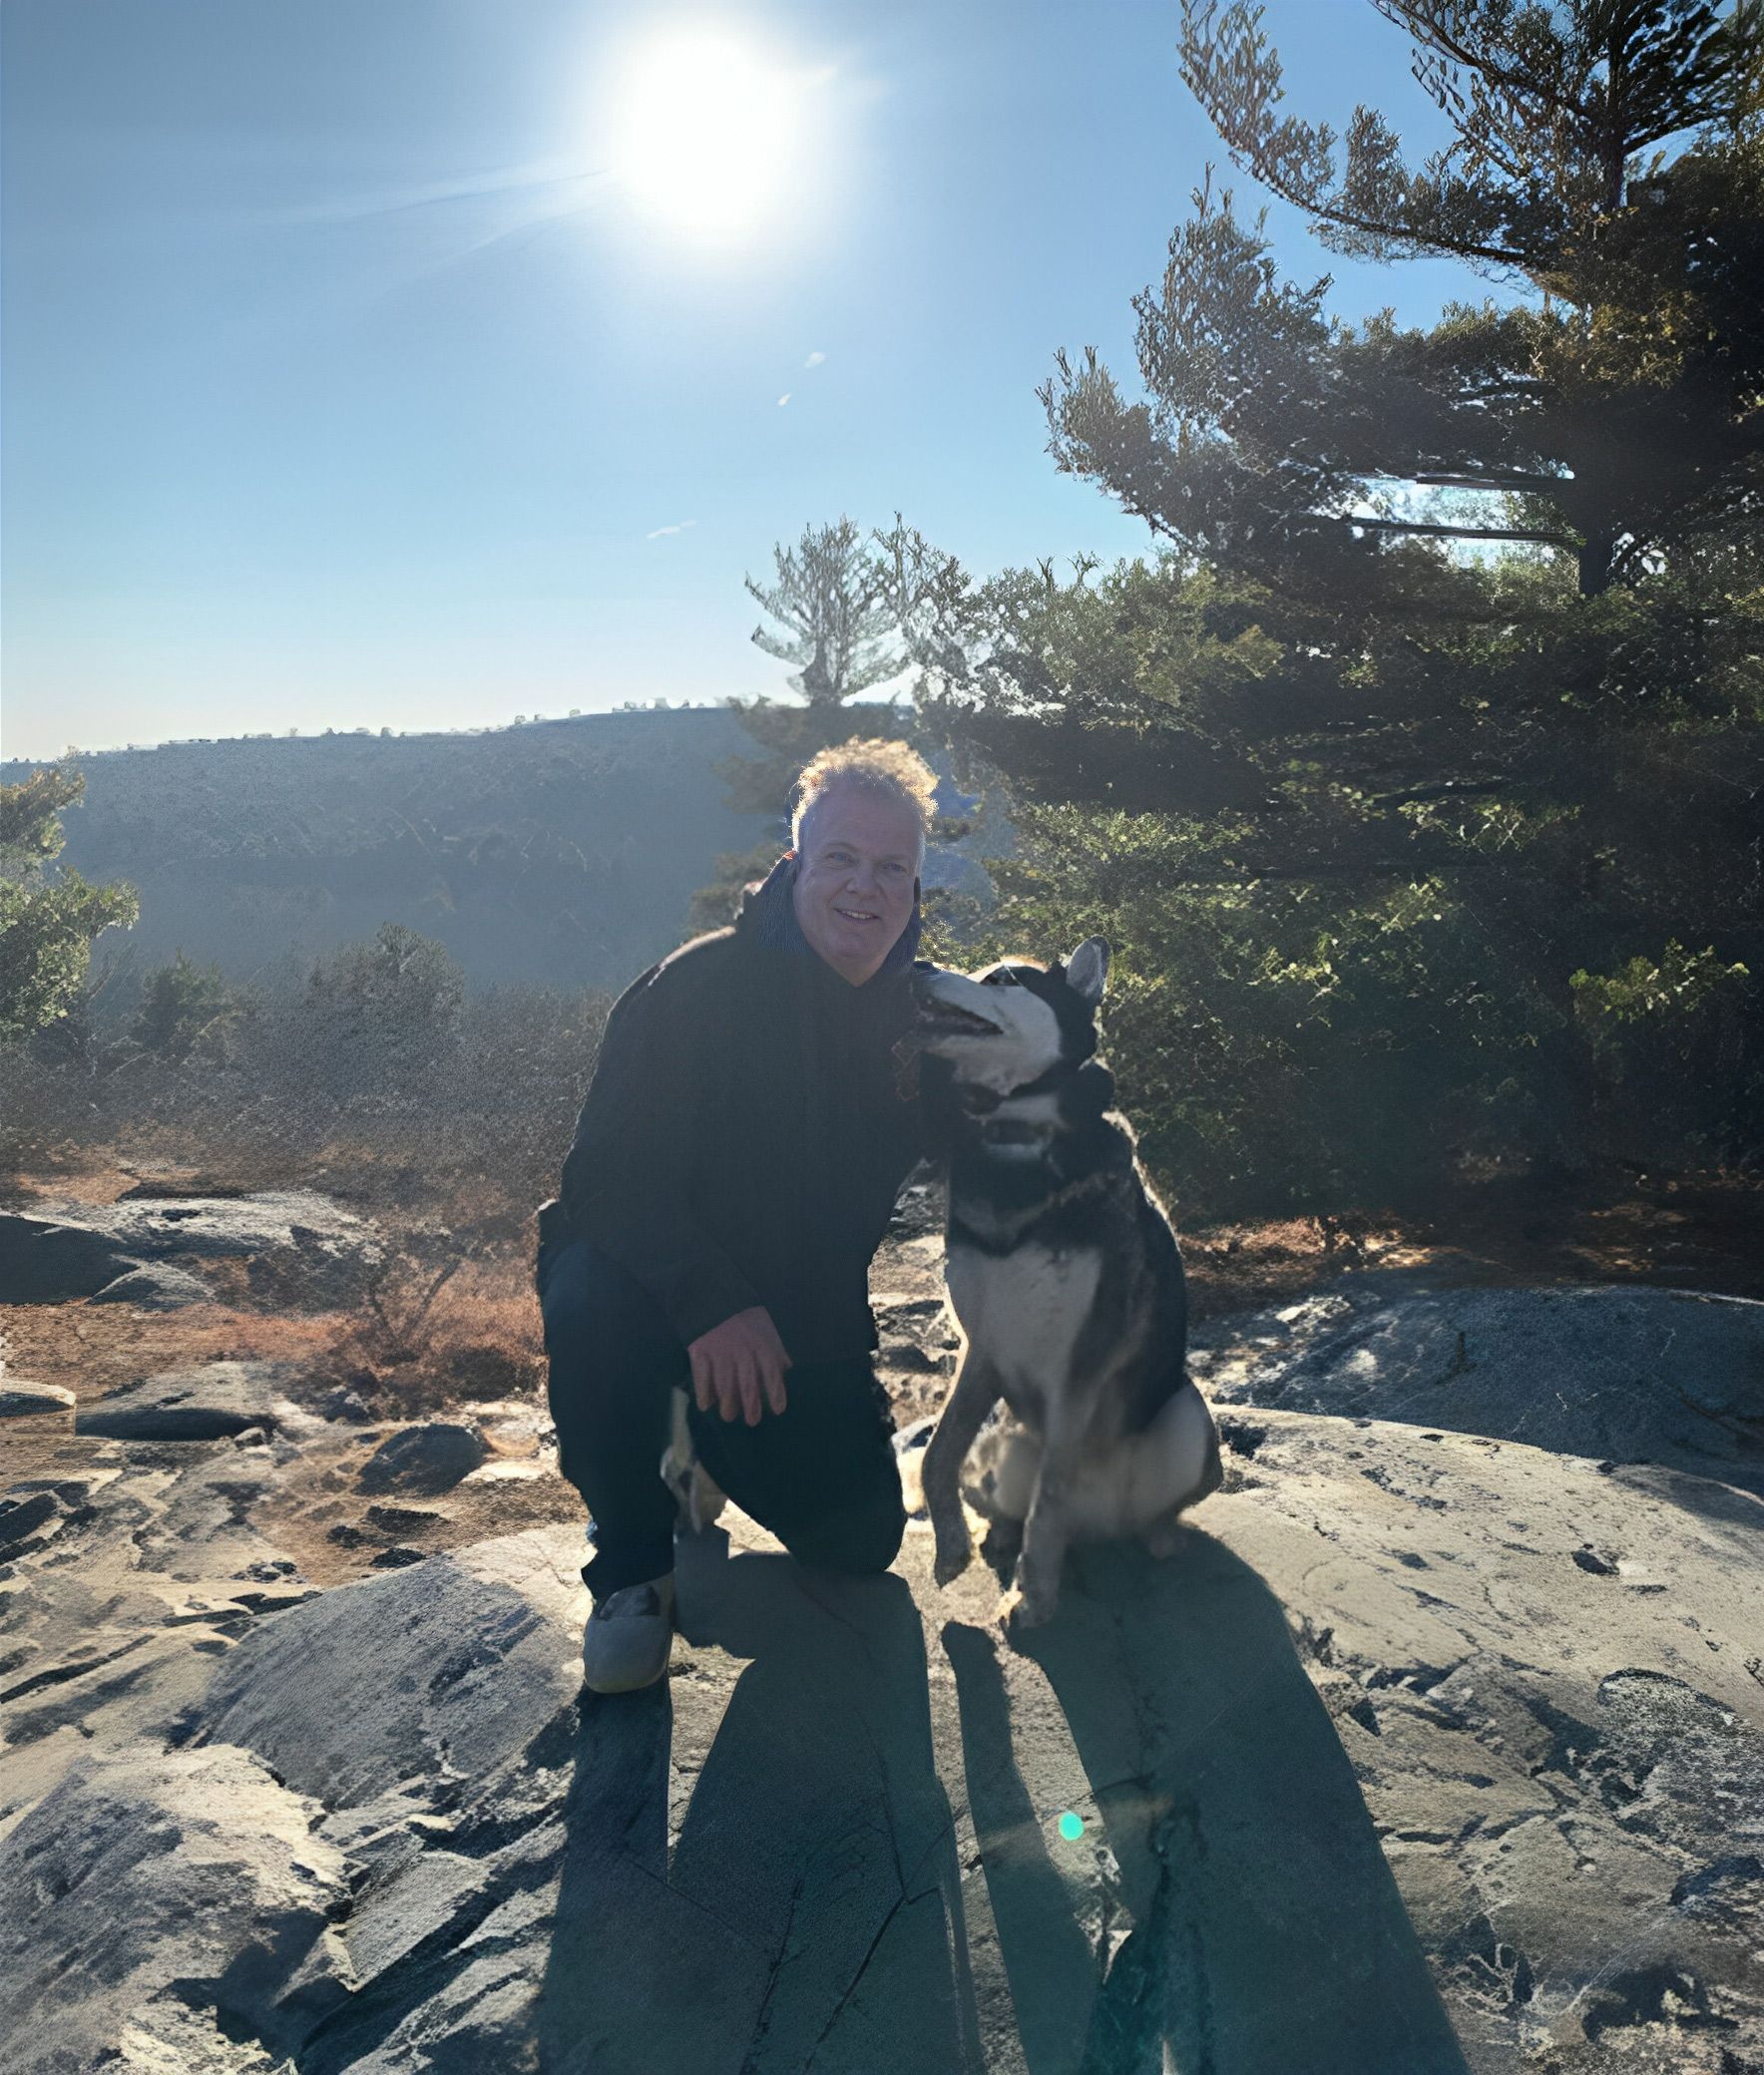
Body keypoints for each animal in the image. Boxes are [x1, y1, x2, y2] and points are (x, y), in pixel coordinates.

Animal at [900, 942, 1220, 1635]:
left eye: (1003, 978)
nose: (918, 963)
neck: (1018, 1136)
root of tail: (1099, 1525)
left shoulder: (1080, 1363)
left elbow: (1049, 1504)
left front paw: (1032, 1597)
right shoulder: (982, 1348)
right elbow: (937, 1452)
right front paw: (951, 1547)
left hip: (1187, 1413)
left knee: (1139, 1510)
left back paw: (1159, 1535)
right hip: (997, 1445)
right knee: (996, 1491)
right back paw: (996, 1533)